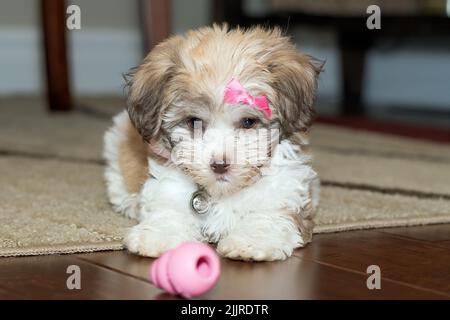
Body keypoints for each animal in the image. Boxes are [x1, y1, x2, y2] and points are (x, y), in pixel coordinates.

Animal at [103, 24, 320, 260]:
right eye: (194, 121)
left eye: (248, 122)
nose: (220, 165)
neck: (221, 193)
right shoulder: (168, 188)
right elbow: (169, 213)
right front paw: (158, 235)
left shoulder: (283, 192)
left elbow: (268, 216)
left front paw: (250, 241)